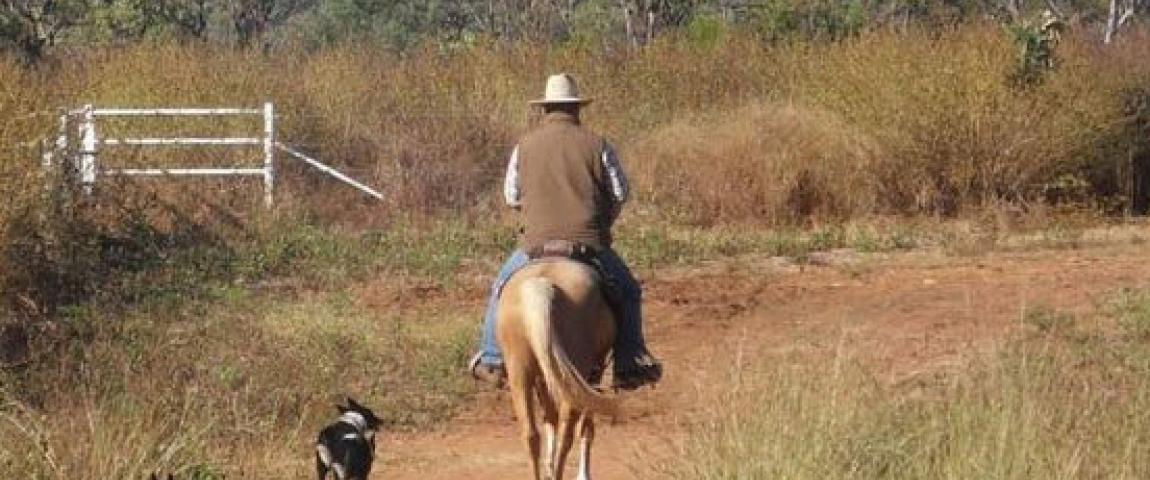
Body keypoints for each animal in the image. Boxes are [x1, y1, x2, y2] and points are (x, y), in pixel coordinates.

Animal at [496, 260, 621, 478]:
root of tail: (541, 285)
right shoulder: (593, 373)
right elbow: (586, 425)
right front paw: (582, 475)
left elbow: (550, 417)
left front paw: (549, 467)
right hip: (576, 372)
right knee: (567, 433)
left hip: (519, 371)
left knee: (531, 434)